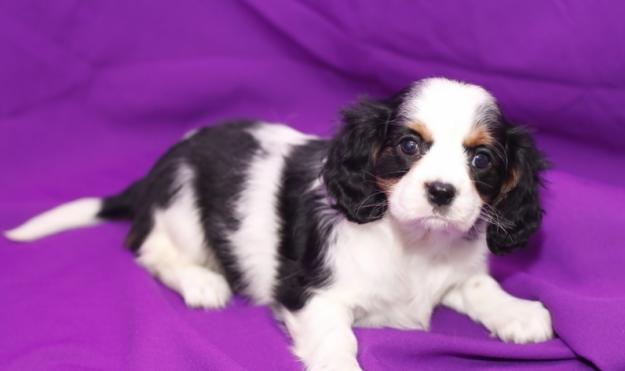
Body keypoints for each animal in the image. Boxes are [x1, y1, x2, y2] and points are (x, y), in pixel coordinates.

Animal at [4, 77, 552, 370]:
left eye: (481, 160)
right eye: (409, 145)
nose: (441, 192)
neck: (413, 242)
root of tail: (160, 167)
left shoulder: (458, 273)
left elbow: (481, 288)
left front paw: (519, 313)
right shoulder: (311, 294)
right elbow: (338, 340)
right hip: (181, 206)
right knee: (150, 251)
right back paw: (202, 281)